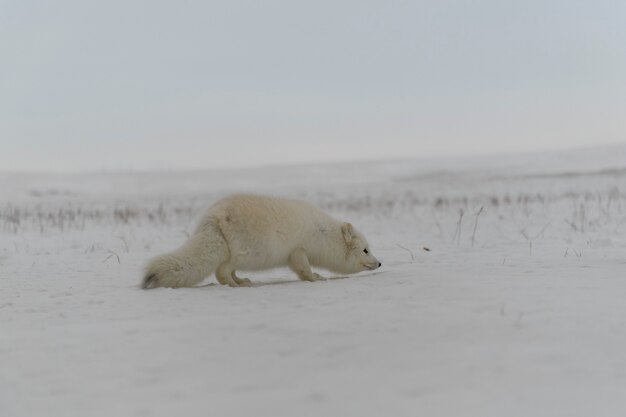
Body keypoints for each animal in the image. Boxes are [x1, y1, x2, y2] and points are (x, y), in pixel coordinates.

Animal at [141, 193, 380, 288]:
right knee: (221, 272)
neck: (322, 234)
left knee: (227, 271)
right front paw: (317, 277)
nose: (379, 263)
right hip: (241, 252)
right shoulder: (298, 249)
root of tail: (211, 219)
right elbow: (304, 269)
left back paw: (241, 280)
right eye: (366, 250)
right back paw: (235, 285)